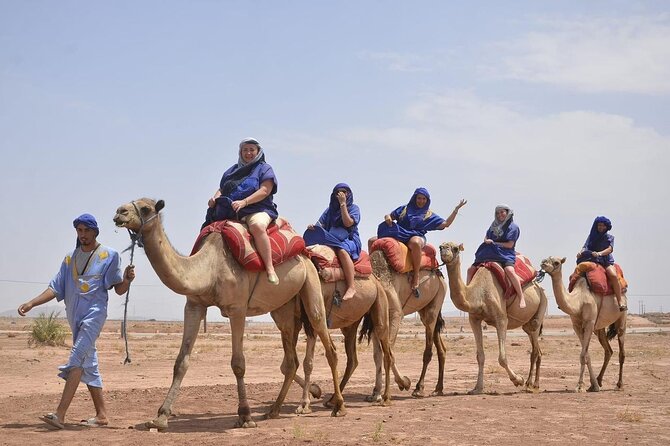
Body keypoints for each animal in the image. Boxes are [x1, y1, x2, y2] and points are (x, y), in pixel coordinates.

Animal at [113, 199, 344, 428]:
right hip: (284, 309)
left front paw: (245, 416)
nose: (119, 212)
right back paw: (274, 410)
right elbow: (181, 362)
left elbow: (238, 364)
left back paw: (338, 406)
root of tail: (305, 254)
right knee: (291, 360)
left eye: (145, 208)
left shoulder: (237, 309)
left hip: (311, 287)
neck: (209, 269)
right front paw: (160, 416)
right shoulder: (194, 305)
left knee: (329, 346)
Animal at [368, 249, 446, 398]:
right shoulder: (375, 318)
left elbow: (389, 351)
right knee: (441, 347)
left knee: (428, 347)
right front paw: (376, 392)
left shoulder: (395, 314)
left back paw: (418, 388)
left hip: (438, 296)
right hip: (424, 308)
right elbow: (377, 355)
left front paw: (404, 383)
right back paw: (438, 389)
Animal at [440, 242, 544, 392]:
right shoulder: (474, 319)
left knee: (535, 346)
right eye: (440, 247)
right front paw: (477, 388)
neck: (479, 293)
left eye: (455, 248)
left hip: (541, 306)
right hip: (527, 324)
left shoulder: (501, 319)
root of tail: (538, 286)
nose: (444, 252)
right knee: (535, 346)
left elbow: (502, 358)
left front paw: (518, 380)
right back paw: (533, 383)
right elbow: (480, 356)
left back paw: (531, 384)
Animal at [540, 256, 628, 392]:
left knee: (621, 351)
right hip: (599, 329)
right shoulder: (577, 326)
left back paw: (619, 384)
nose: (543, 264)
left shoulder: (589, 323)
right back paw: (599, 381)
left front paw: (580, 386)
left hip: (621, 318)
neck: (578, 301)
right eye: (546, 259)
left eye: (556, 262)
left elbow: (583, 355)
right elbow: (586, 355)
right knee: (608, 351)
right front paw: (593, 385)